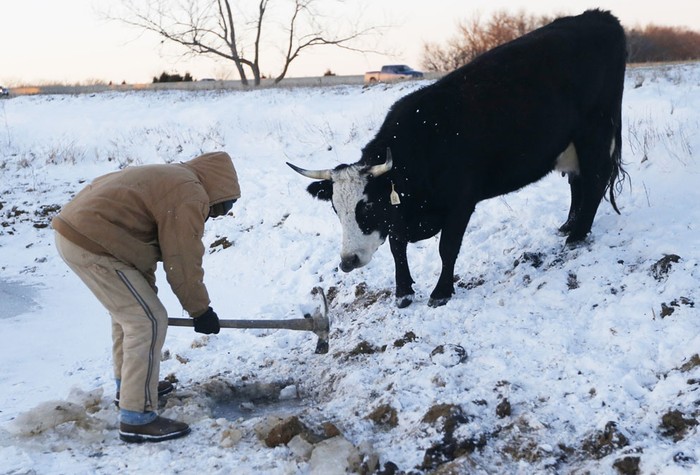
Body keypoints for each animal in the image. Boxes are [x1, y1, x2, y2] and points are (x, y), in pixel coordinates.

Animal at [288, 11, 628, 310]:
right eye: (336, 209)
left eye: (368, 207)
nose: (348, 262)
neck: (423, 145)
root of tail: (601, 16)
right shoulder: (400, 214)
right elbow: (398, 248)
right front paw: (403, 292)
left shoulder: (461, 201)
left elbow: (446, 248)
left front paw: (441, 292)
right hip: (571, 144)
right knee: (577, 181)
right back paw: (568, 224)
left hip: (595, 131)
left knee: (595, 180)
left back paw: (577, 235)